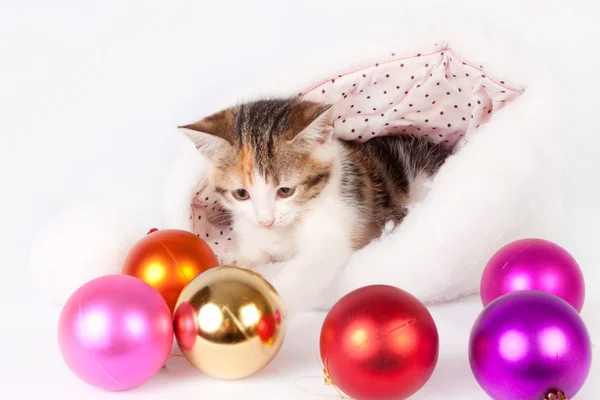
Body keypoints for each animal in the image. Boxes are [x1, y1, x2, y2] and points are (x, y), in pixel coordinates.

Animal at [179, 97, 450, 316]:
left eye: (286, 191)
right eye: (241, 194)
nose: (266, 220)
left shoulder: (332, 229)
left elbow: (308, 267)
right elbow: (258, 251)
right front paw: (238, 258)